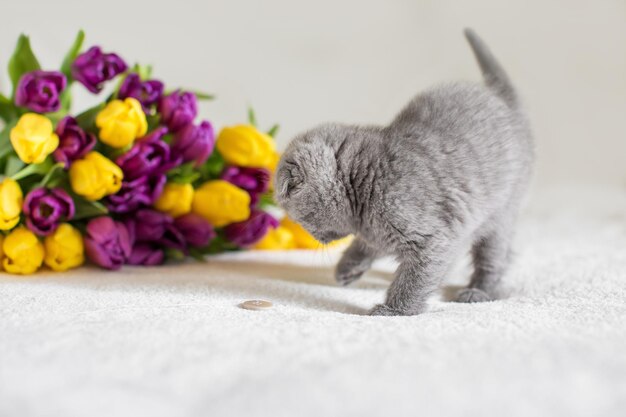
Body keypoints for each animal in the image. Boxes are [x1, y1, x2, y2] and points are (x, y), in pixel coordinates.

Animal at [272, 29, 532, 316]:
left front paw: (394, 310)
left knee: (493, 258)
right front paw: (348, 267)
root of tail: (499, 97)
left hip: (502, 212)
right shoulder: (377, 231)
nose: (315, 238)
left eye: (297, 219)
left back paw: (477, 291)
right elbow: (368, 243)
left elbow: (413, 279)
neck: (366, 182)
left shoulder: (432, 239)